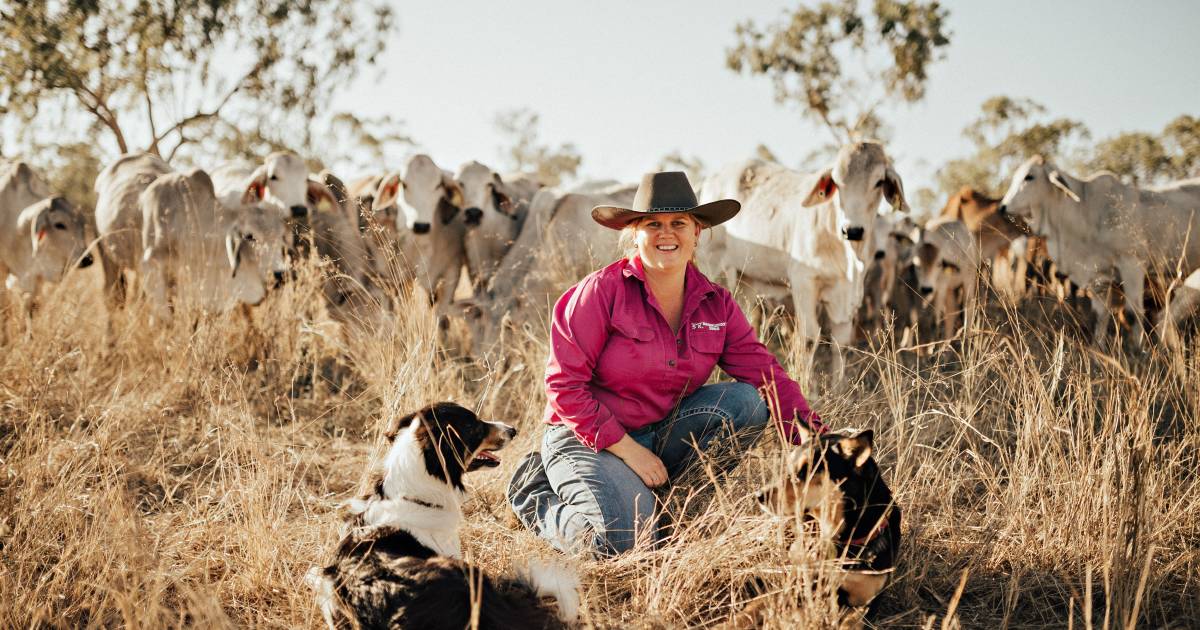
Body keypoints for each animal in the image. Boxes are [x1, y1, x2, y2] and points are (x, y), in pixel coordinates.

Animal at [700, 140, 902, 381]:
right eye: (837, 182)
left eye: (879, 182)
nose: (852, 230)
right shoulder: (804, 283)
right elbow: (808, 339)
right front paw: (807, 385)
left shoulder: (847, 295)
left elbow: (841, 345)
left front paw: (838, 386)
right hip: (710, 264)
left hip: (745, 279)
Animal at [993, 154, 1200, 345]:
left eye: (1029, 176)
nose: (1003, 207)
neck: (1085, 211)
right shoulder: (1098, 277)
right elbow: (1101, 316)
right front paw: (1098, 349)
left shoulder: (1132, 264)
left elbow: (1133, 313)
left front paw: (1139, 349)